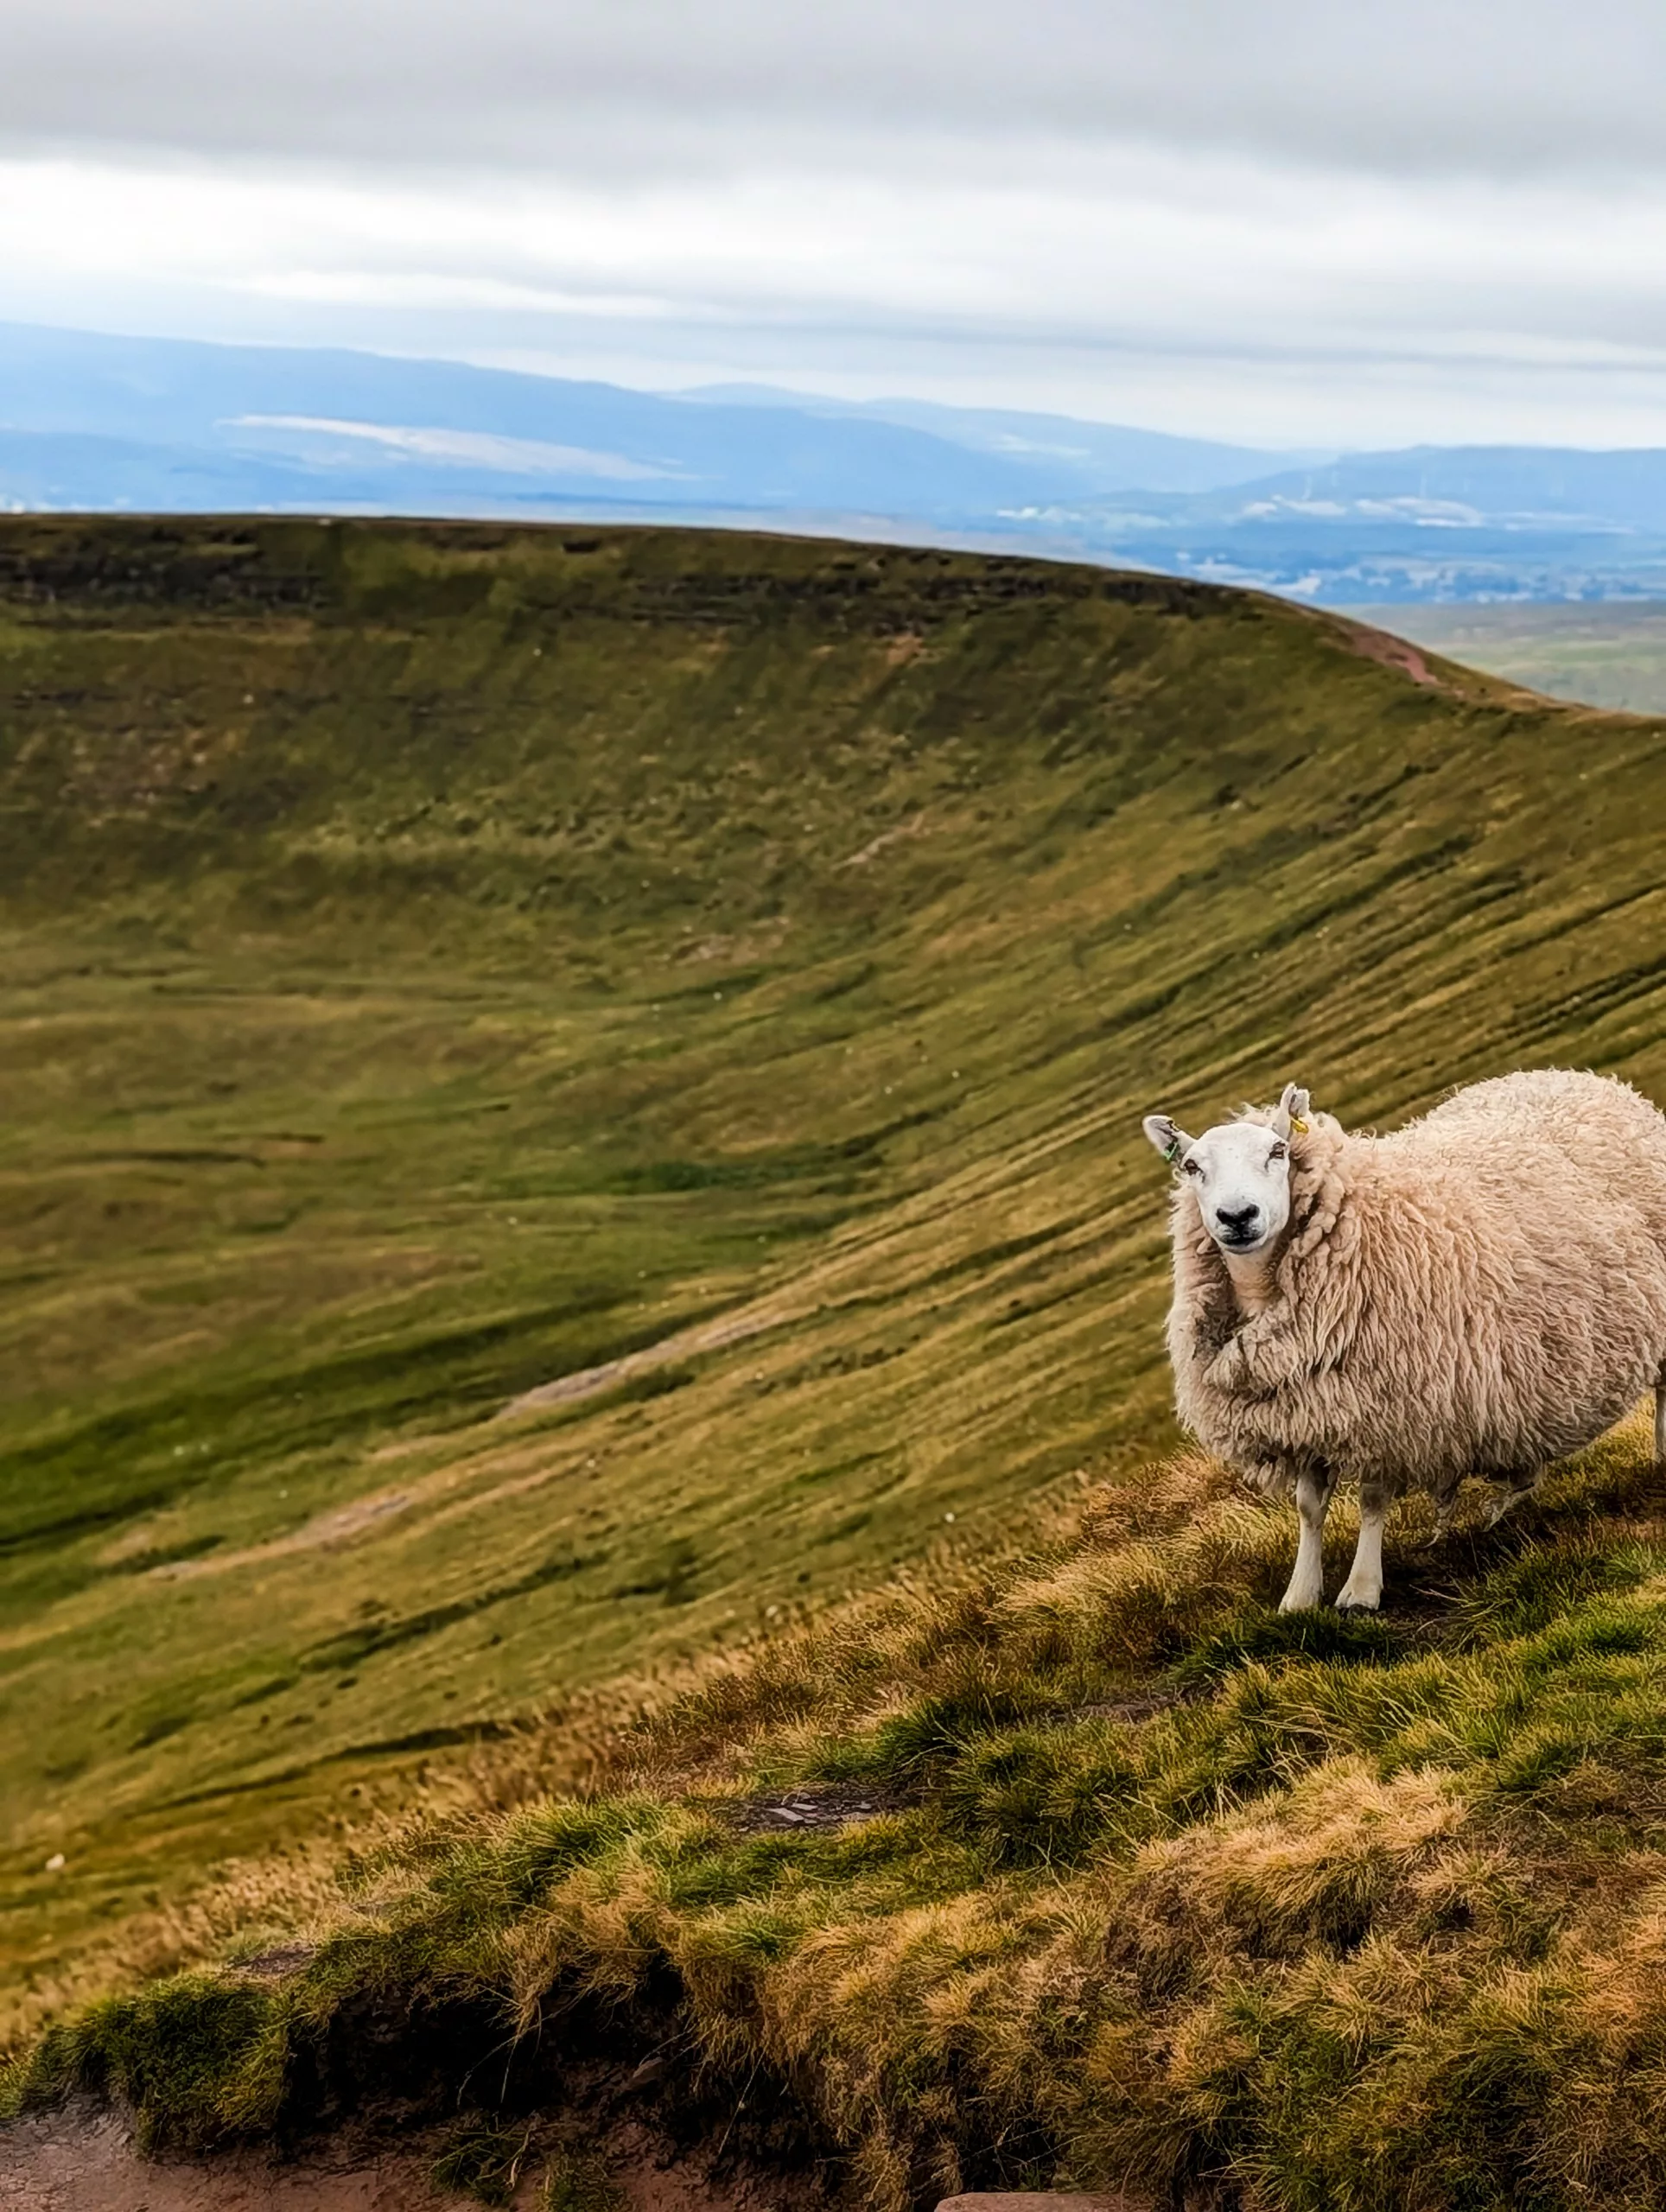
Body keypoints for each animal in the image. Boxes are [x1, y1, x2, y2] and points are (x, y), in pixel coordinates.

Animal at [1141, 1070, 1666, 1613]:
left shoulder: (1389, 1410)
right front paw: (1300, 1595)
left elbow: (1372, 1500)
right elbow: (1309, 1509)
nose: (1237, 1216)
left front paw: (1361, 1590)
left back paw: (1662, 1457)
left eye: (1278, 1150)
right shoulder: (1303, 1416)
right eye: (1191, 1166)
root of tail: (1579, 1078)